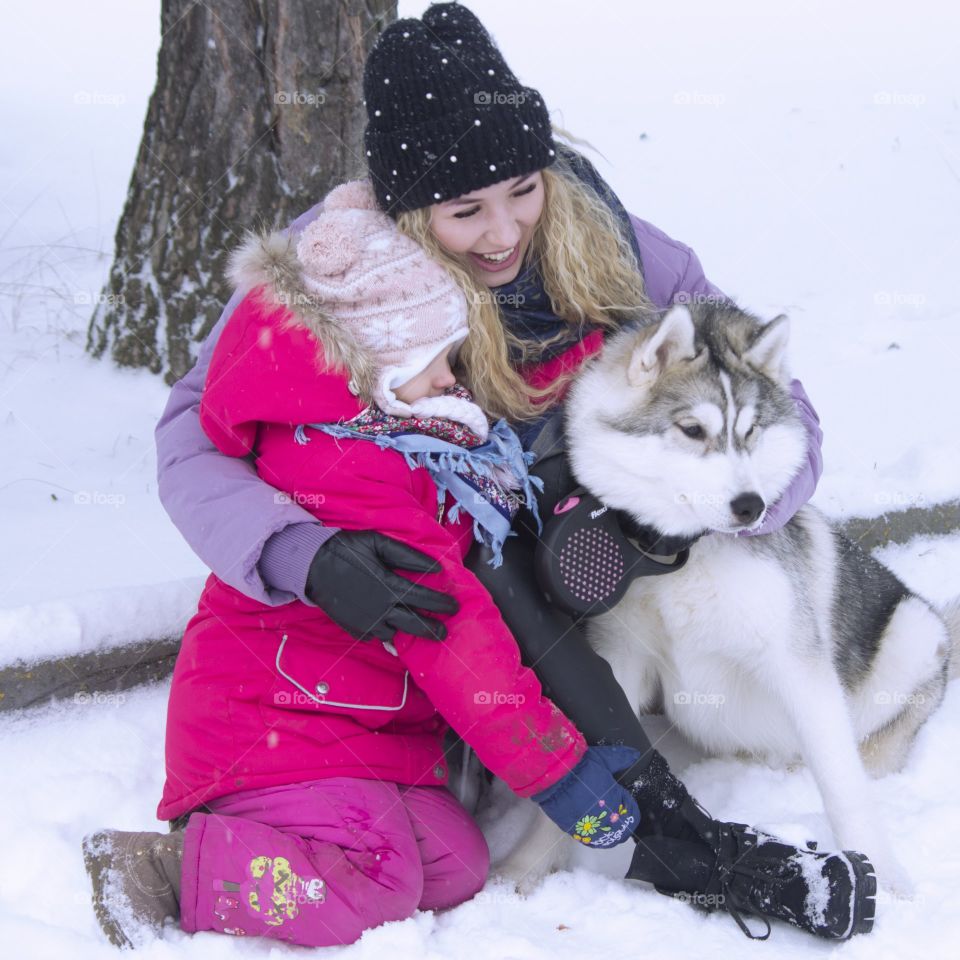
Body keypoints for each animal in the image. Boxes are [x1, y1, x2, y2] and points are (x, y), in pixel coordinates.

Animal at [544, 304, 956, 896]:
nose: (751, 506)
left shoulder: (798, 664)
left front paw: (883, 872)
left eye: (751, 431)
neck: (685, 556)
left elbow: (845, 787)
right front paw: (522, 869)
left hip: (912, 632)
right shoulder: (619, 658)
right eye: (693, 430)